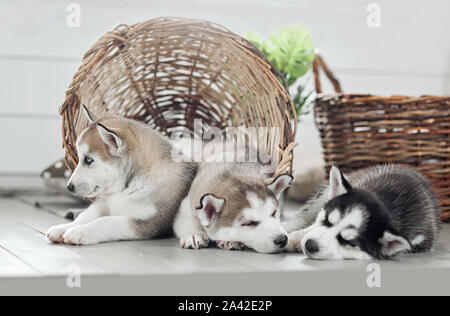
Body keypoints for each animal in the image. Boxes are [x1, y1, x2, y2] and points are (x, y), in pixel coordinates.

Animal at [46, 107, 199, 246]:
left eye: (88, 160)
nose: (69, 187)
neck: (127, 186)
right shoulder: (105, 204)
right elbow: (86, 215)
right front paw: (63, 228)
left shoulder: (148, 221)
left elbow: (106, 221)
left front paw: (80, 232)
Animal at [284, 165, 442, 260]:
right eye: (327, 219)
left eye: (348, 242)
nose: (310, 245)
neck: (388, 204)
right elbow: (312, 226)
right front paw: (296, 237)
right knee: (304, 217)